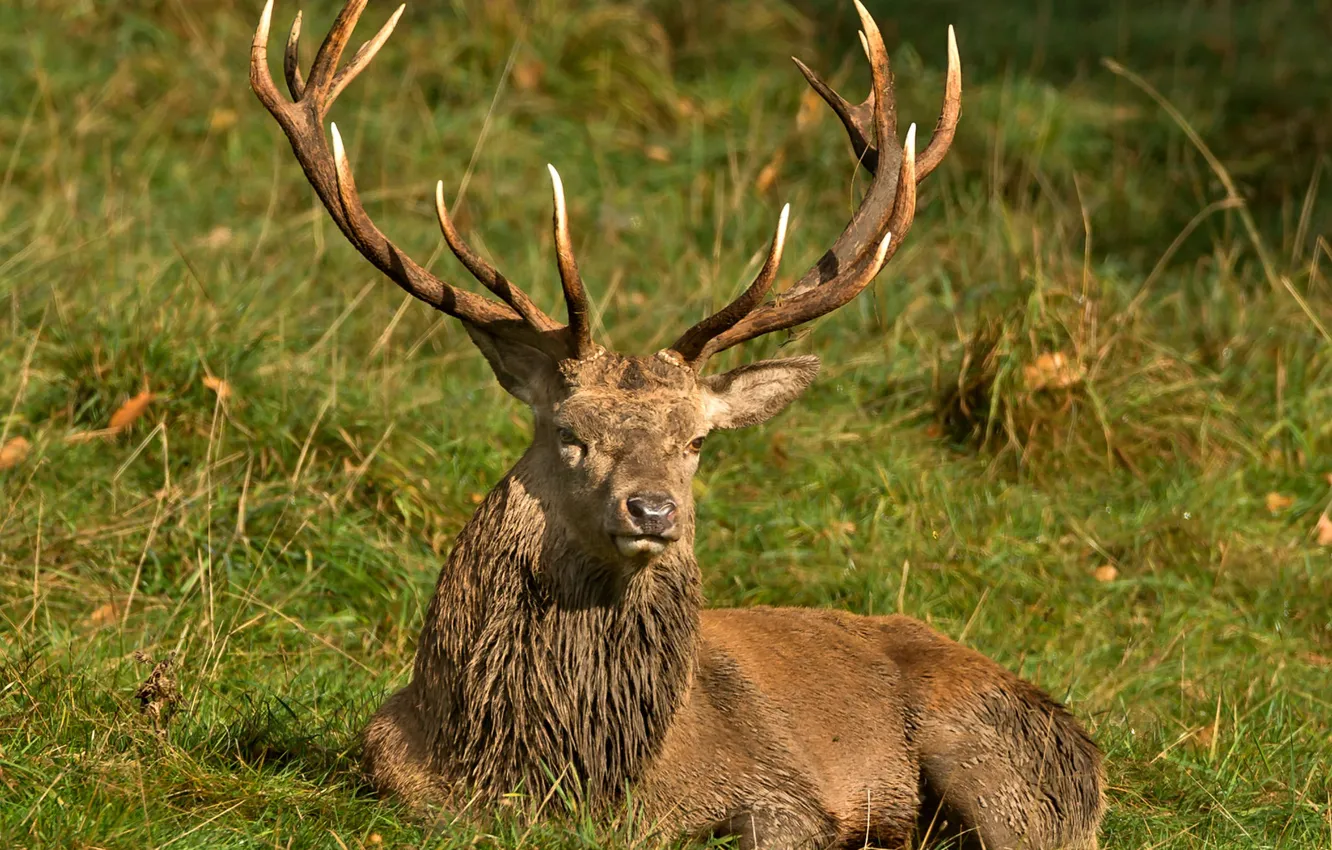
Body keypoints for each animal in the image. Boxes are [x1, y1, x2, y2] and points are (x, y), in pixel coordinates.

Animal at [249, 1, 1104, 847]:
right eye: (568, 432)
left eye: (698, 442)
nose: (653, 509)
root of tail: (1086, 747)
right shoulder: (387, 764)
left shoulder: (783, 790)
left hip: (993, 755)